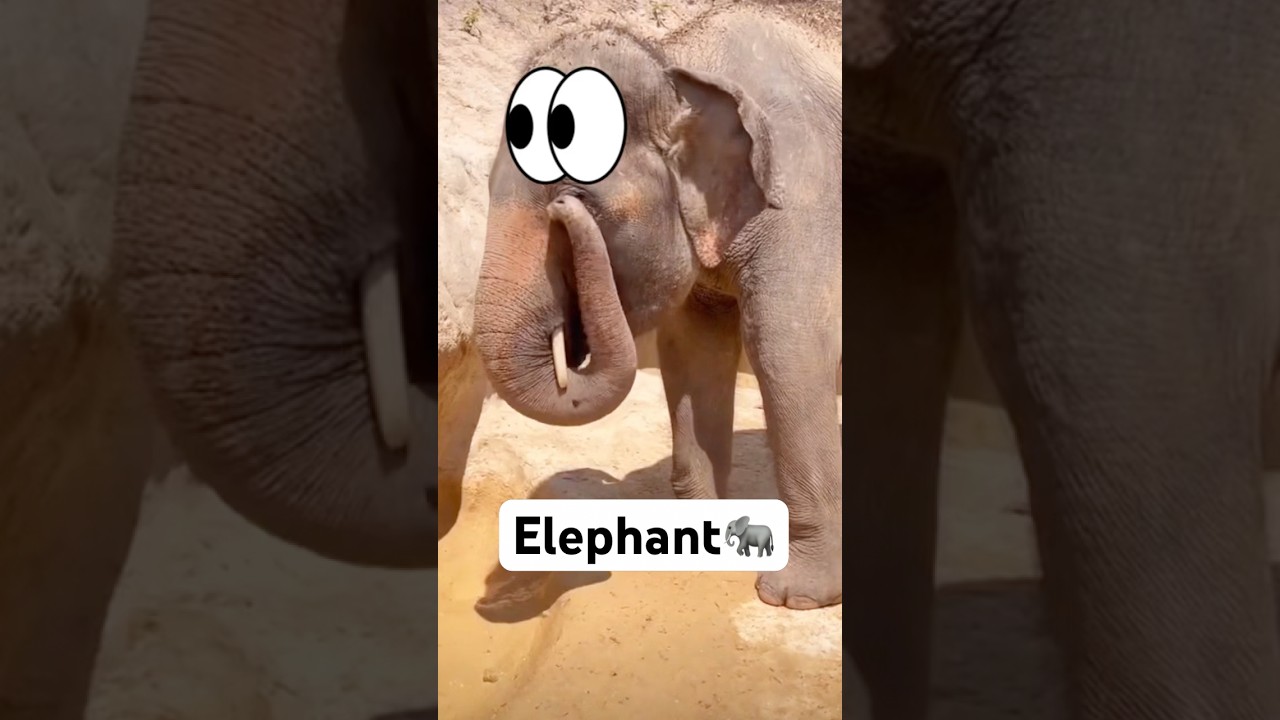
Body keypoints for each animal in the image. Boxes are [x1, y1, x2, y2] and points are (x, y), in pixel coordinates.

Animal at [472, 6, 843, 610]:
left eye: (575, 196)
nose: (486, 601)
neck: (680, 62)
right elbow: (693, 349)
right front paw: (697, 550)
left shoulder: (804, 202)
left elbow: (787, 347)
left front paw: (794, 598)